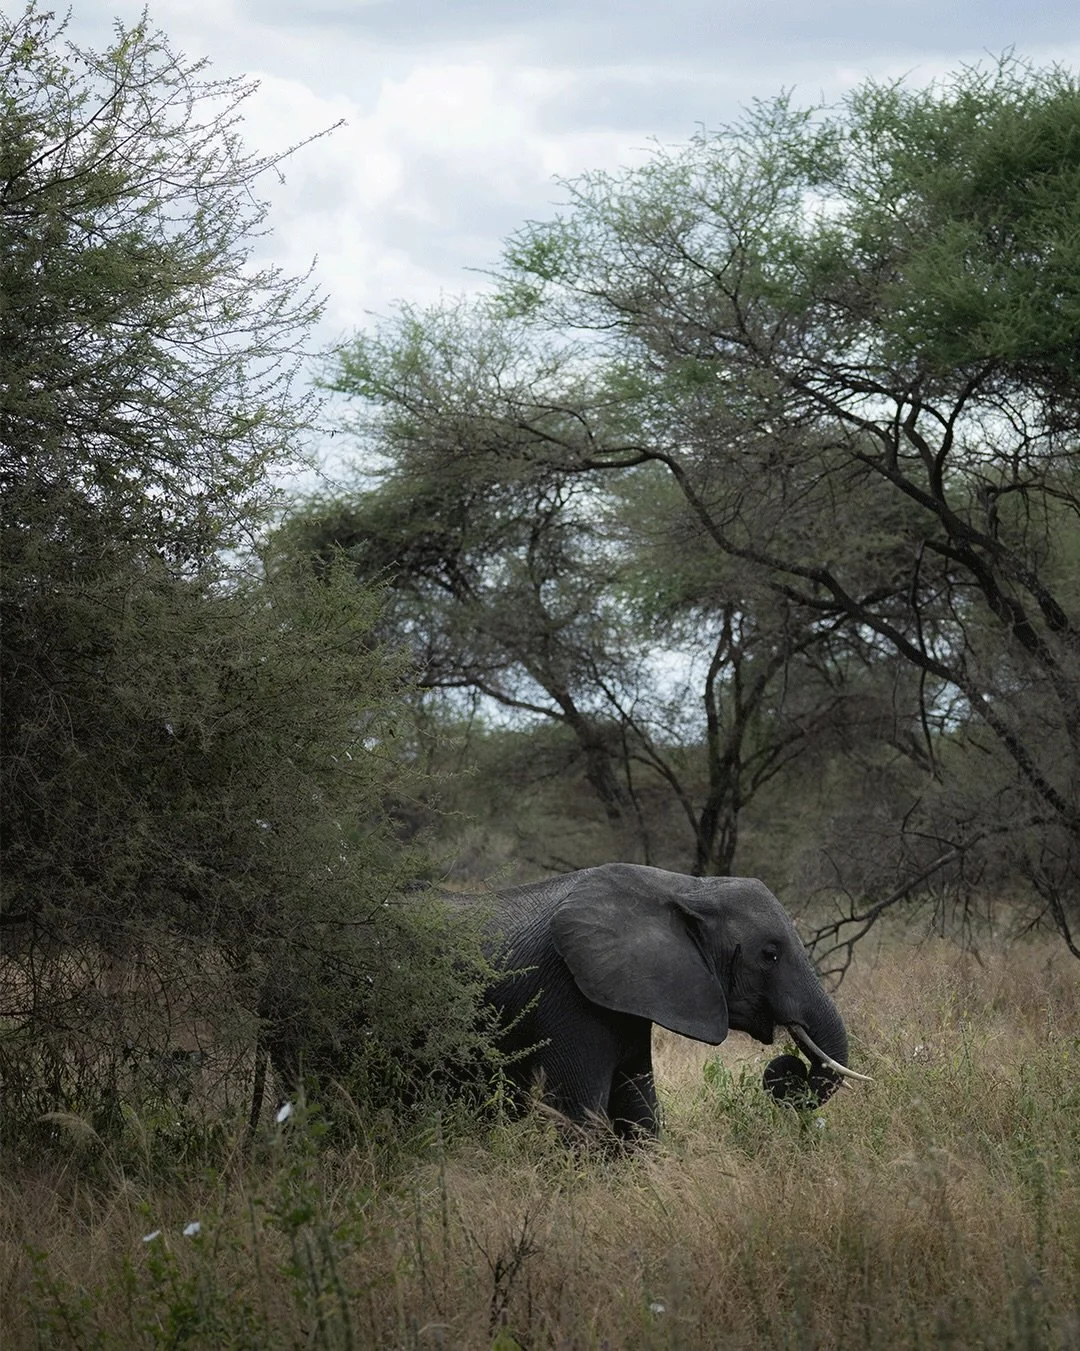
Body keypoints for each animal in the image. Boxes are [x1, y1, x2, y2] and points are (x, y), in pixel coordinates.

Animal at [470, 863, 867, 1139]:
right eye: (770, 955)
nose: (790, 1069)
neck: (685, 887)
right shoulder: (565, 997)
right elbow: (579, 1121)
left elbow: (640, 1113)